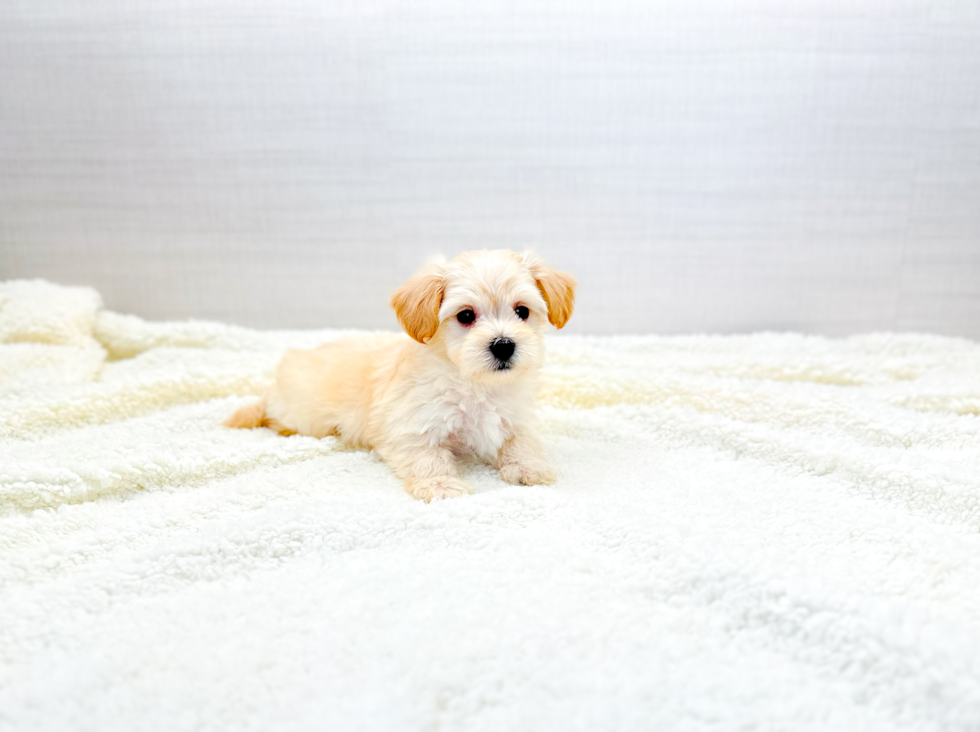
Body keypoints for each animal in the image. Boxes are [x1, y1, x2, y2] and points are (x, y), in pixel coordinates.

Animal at [224, 249, 576, 500]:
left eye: (522, 311)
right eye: (465, 315)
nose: (504, 345)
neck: (475, 384)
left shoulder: (515, 418)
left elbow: (521, 443)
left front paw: (530, 468)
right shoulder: (410, 427)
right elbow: (427, 458)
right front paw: (441, 486)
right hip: (304, 416)